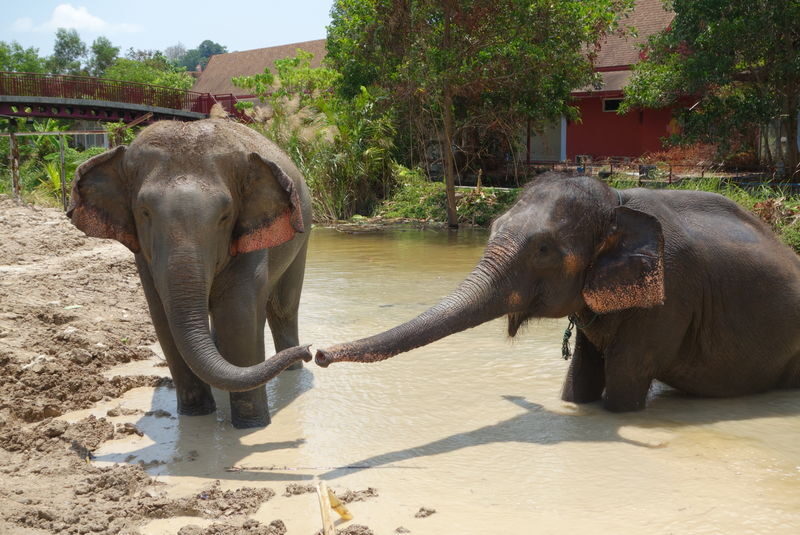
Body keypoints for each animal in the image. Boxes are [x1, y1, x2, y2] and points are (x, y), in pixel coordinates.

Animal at [68, 119, 313, 428]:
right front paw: (196, 415)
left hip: (303, 232)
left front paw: (253, 426)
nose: (313, 351)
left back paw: (292, 371)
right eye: (144, 212)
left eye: (224, 216)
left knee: (283, 308)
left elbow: (238, 316)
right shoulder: (145, 258)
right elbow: (164, 320)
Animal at [316, 172, 800, 412]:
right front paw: (572, 403)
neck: (617, 201)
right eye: (492, 227)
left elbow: (622, 385)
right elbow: (581, 375)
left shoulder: (670, 298)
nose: (317, 353)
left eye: (544, 249)